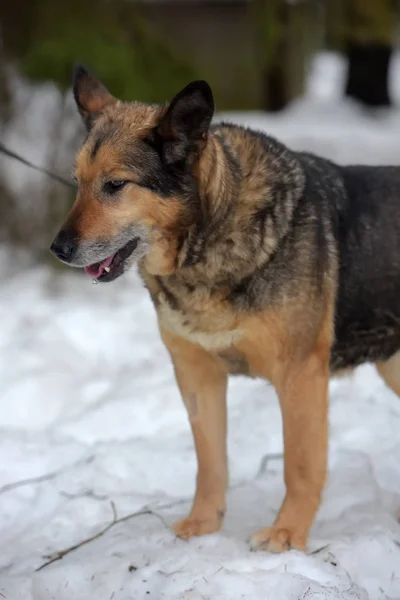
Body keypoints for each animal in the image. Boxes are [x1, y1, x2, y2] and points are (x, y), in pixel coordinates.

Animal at [49, 65, 400, 552]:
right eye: (77, 182)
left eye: (115, 185)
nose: (58, 249)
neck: (210, 237)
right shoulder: (197, 376)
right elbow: (210, 463)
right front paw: (203, 525)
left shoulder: (300, 377)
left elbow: (299, 466)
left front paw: (287, 534)